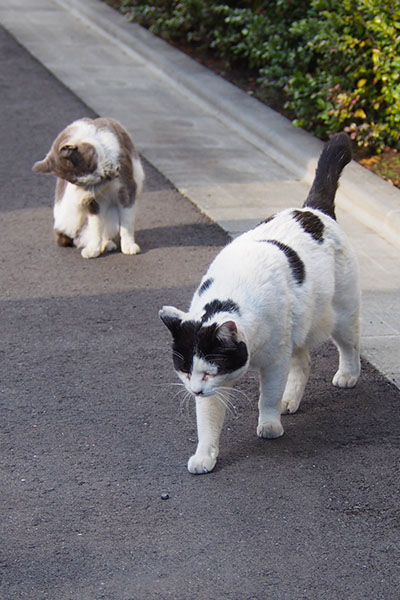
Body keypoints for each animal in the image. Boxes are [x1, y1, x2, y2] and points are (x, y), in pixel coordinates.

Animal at [33, 116, 144, 258]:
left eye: (89, 165)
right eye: (78, 181)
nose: (99, 178)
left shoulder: (127, 189)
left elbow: (127, 223)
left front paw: (128, 245)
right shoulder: (94, 201)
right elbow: (96, 225)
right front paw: (94, 249)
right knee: (81, 236)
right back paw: (104, 245)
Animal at [159, 134, 360, 476]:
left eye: (209, 372)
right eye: (185, 371)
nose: (195, 391)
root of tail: (312, 209)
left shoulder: (275, 359)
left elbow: (268, 396)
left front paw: (269, 425)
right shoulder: (219, 388)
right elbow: (207, 422)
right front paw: (205, 455)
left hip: (341, 315)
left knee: (349, 345)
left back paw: (347, 376)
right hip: (297, 326)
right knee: (304, 361)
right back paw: (290, 401)